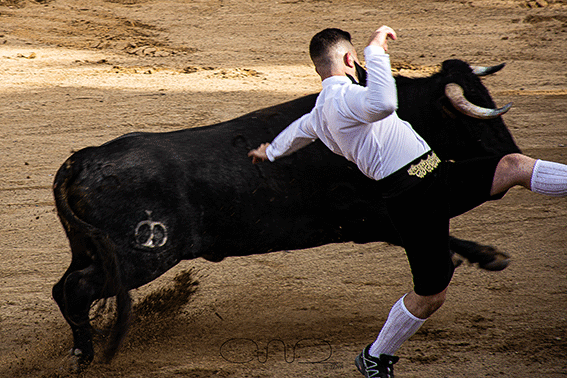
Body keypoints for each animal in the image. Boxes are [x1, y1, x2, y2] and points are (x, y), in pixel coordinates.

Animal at [52, 59, 520, 370]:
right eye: (474, 120)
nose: (508, 152)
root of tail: (83, 160)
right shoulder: (374, 215)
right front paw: (485, 255)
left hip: (93, 251)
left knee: (64, 288)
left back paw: (82, 349)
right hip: (143, 255)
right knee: (76, 290)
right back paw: (85, 355)